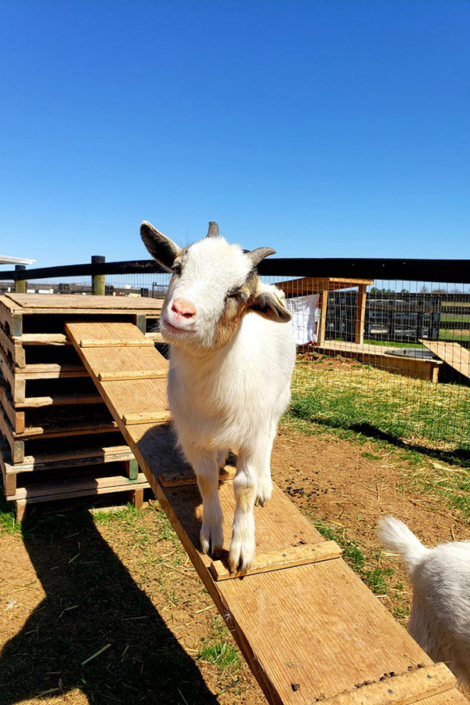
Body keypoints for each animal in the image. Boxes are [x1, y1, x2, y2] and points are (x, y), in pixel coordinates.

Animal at [141, 220, 296, 571]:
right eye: (178, 268)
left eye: (237, 295)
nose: (182, 311)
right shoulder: (193, 436)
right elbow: (206, 478)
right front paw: (212, 536)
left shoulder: (252, 430)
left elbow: (243, 486)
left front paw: (241, 548)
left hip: (278, 400)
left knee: (270, 438)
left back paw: (265, 483)